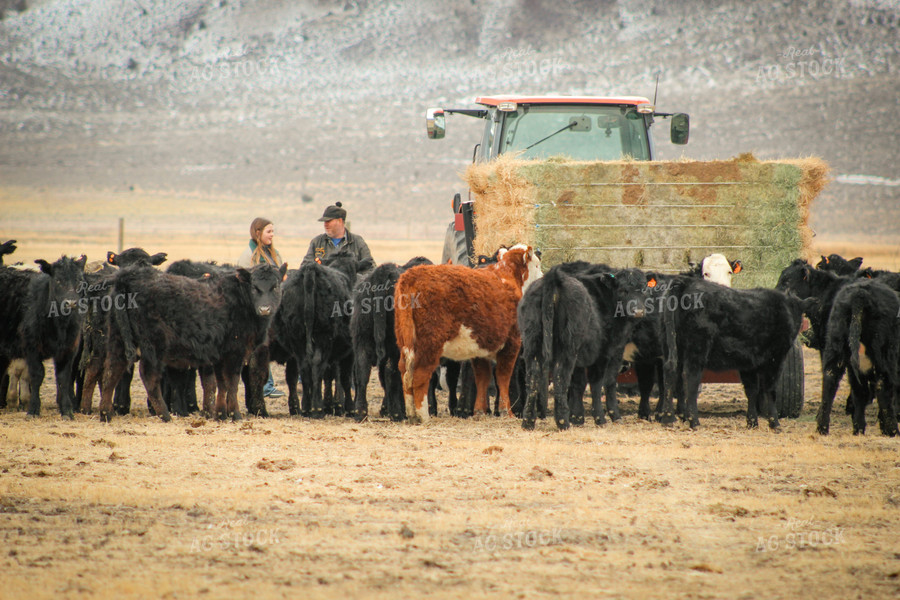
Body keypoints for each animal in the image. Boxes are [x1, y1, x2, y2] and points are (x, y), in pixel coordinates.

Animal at [0, 256, 87, 418]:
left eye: (79, 280)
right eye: (58, 280)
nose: (71, 303)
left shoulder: (68, 350)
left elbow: (64, 378)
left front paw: (67, 410)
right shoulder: (32, 349)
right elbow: (36, 375)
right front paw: (33, 409)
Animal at [97, 262, 284, 422]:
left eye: (275, 286)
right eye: (254, 287)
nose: (265, 309)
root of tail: (129, 277)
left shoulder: (220, 354)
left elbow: (221, 384)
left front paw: (220, 414)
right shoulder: (235, 352)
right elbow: (231, 383)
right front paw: (235, 415)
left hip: (117, 340)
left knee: (111, 372)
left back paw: (106, 414)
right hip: (153, 345)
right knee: (148, 376)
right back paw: (165, 415)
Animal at [656, 278, 804, 428]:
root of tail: (686, 282)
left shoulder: (749, 363)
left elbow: (751, 390)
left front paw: (752, 422)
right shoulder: (775, 359)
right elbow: (770, 389)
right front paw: (775, 423)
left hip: (671, 345)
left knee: (670, 373)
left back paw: (668, 418)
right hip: (697, 347)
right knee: (690, 378)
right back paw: (694, 421)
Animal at [820, 278, 896, 438]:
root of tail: (860, 294)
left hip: (836, 346)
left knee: (831, 379)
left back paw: (825, 428)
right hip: (883, 356)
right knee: (882, 387)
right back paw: (892, 431)